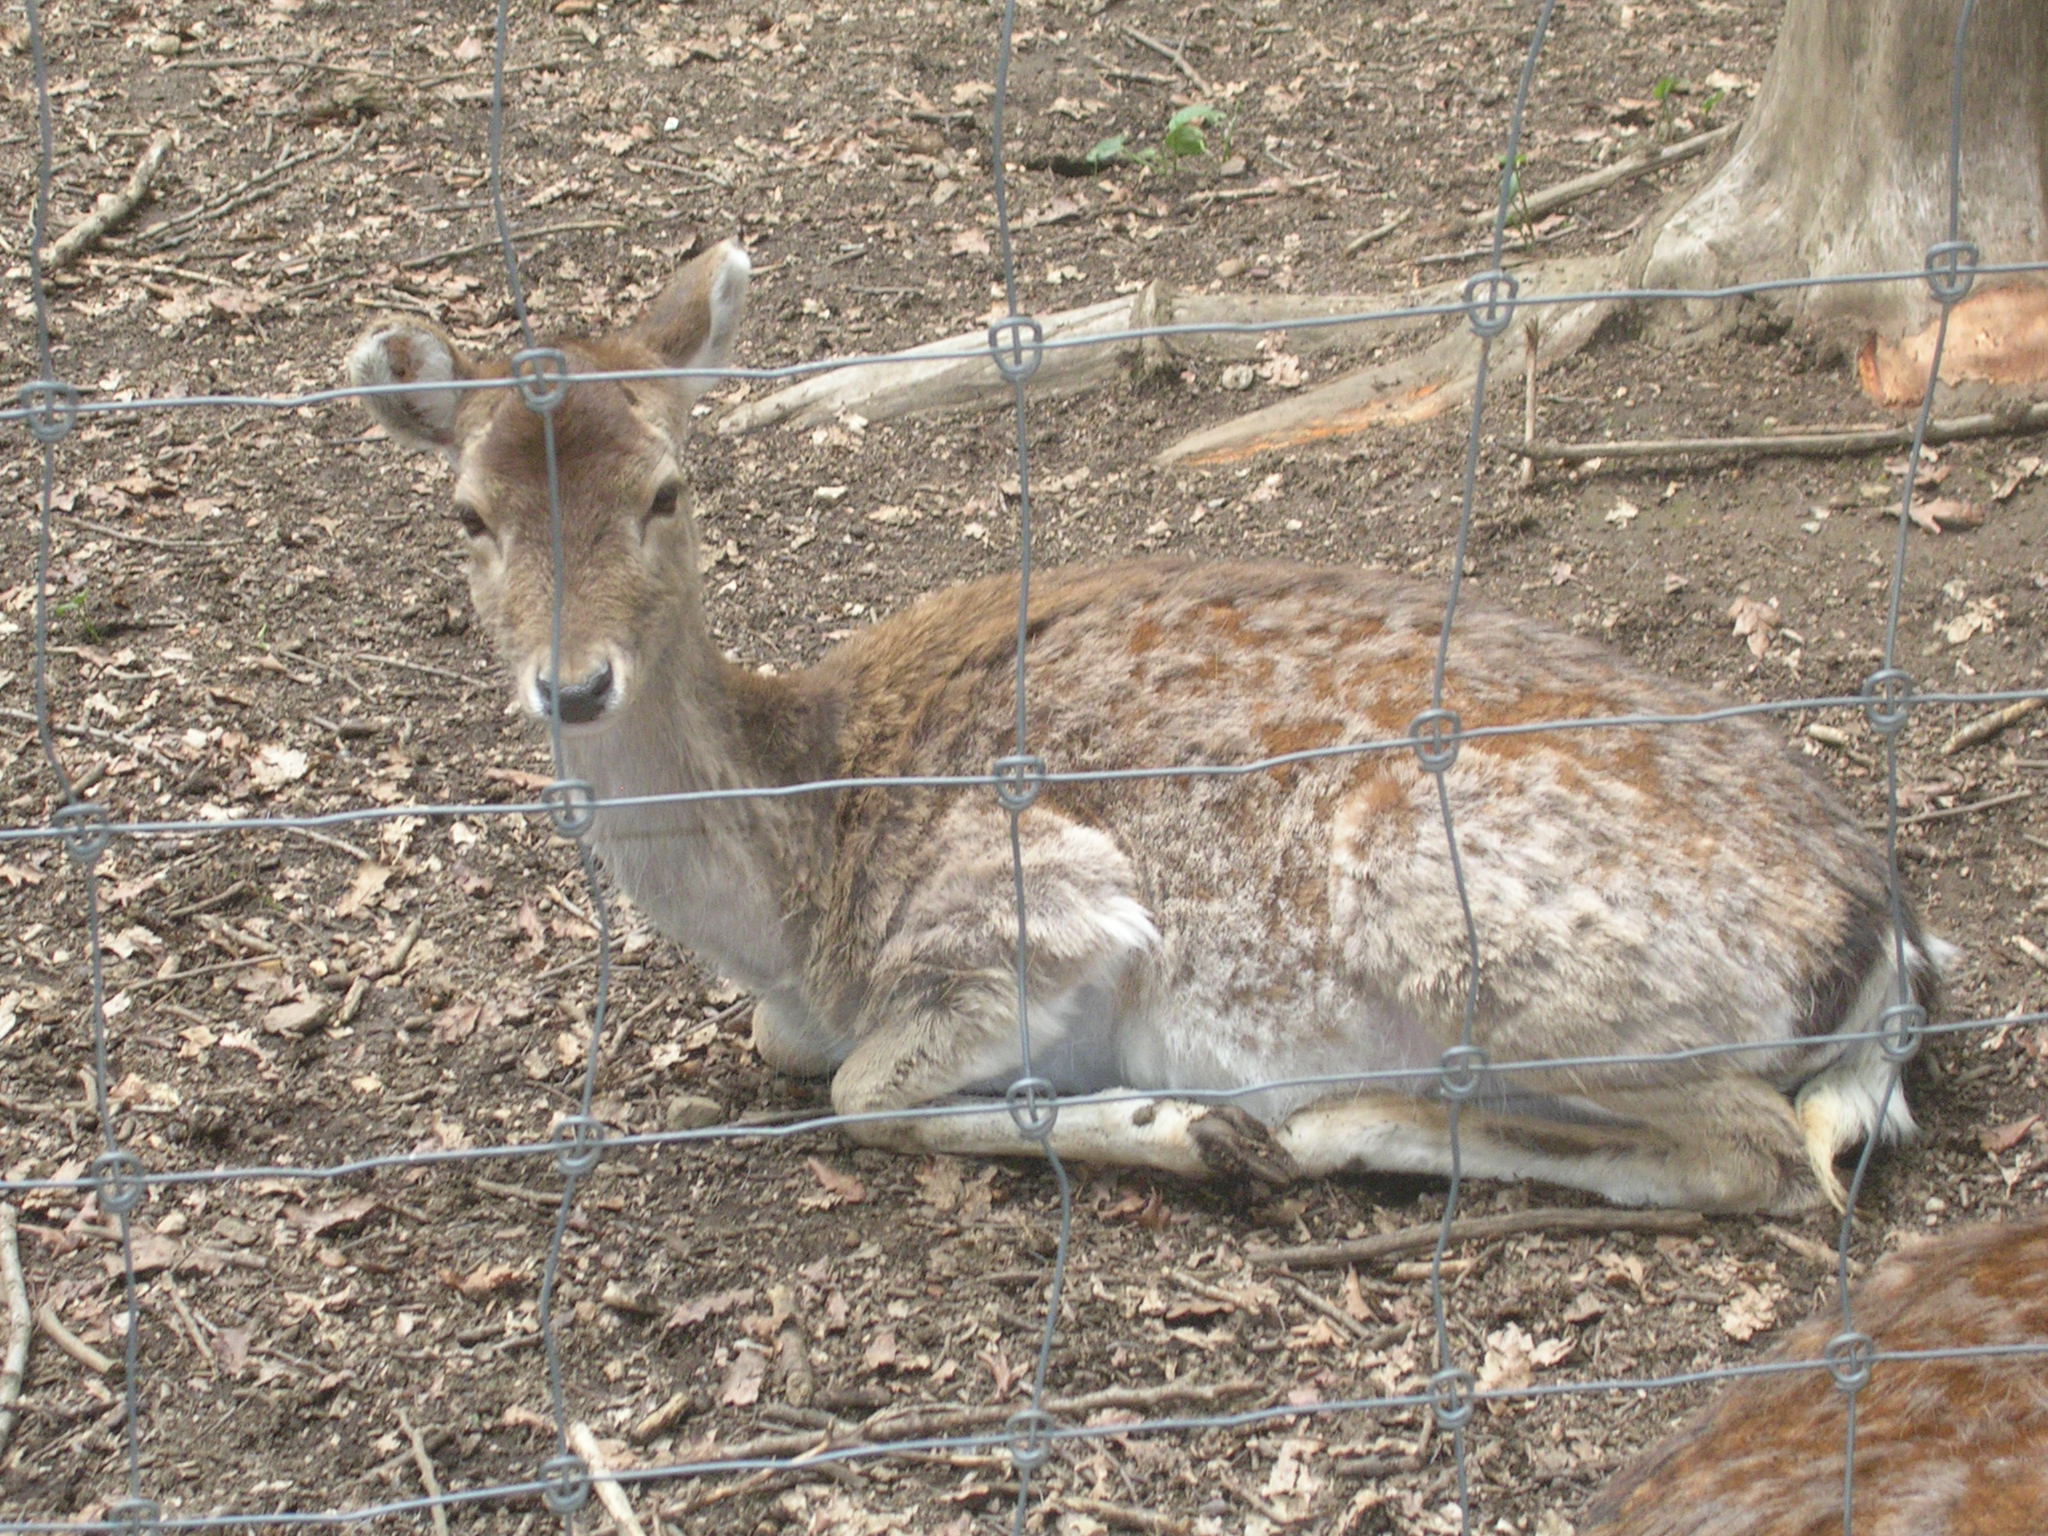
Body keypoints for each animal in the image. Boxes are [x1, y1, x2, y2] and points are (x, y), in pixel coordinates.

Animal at [352, 237, 1949, 1212]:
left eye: (667, 491)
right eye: (468, 515)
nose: (573, 684)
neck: (790, 891)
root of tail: (1884, 935)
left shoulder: (1040, 903)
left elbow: (861, 1087)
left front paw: (1168, 1124)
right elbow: (793, 1051)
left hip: (1465, 921)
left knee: (1757, 1147)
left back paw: (1314, 1125)